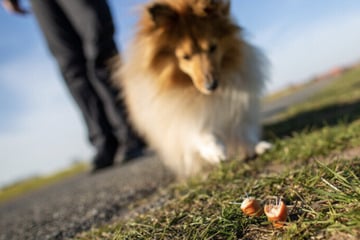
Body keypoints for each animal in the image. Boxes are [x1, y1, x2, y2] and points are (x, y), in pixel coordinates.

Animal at [114, 0, 272, 177]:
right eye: (185, 57)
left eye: (213, 47)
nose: (211, 86)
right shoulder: (174, 114)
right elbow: (194, 130)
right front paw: (216, 150)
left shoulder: (238, 107)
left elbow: (242, 129)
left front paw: (255, 146)